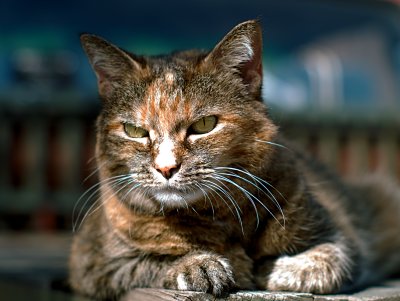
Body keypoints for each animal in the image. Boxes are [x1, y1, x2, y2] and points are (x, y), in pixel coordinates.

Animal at [69, 19, 400, 298]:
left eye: (204, 125)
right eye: (135, 131)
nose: (166, 167)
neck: (217, 219)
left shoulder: (340, 235)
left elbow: (325, 263)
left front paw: (268, 268)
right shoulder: (93, 263)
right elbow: (148, 262)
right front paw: (201, 264)